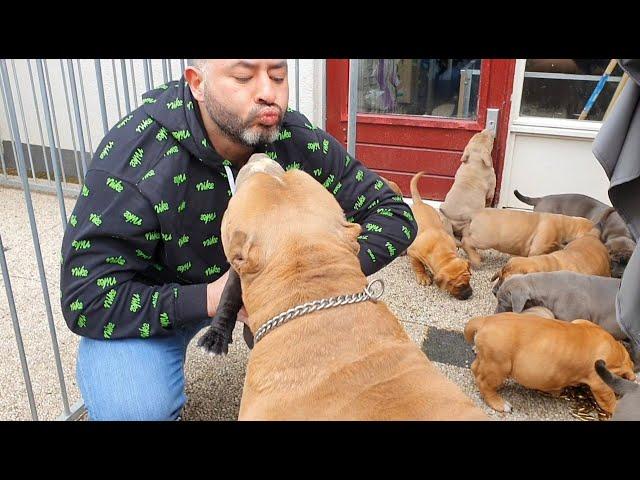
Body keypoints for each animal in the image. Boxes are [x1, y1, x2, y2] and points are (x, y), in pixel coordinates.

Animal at [408, 172, 472, 300]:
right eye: (459, 286)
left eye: (469, 280)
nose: (470, 294)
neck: (441, 250)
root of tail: (419, 202)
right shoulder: (413, 253)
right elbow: (418, 266)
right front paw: (423, 276)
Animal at [460, 208, 596, 268]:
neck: (565, 225)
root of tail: (475, 213)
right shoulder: (537, 249)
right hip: (485, 239)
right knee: (465, 242)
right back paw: (476, 260)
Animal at [464, 314, 636, 414]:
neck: (616, 351)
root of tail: (485, 321)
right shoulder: (599, 383)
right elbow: (609, 399)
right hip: (499, 367)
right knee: (484, 383)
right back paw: (499, 403)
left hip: (488, 360)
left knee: (475, 368)